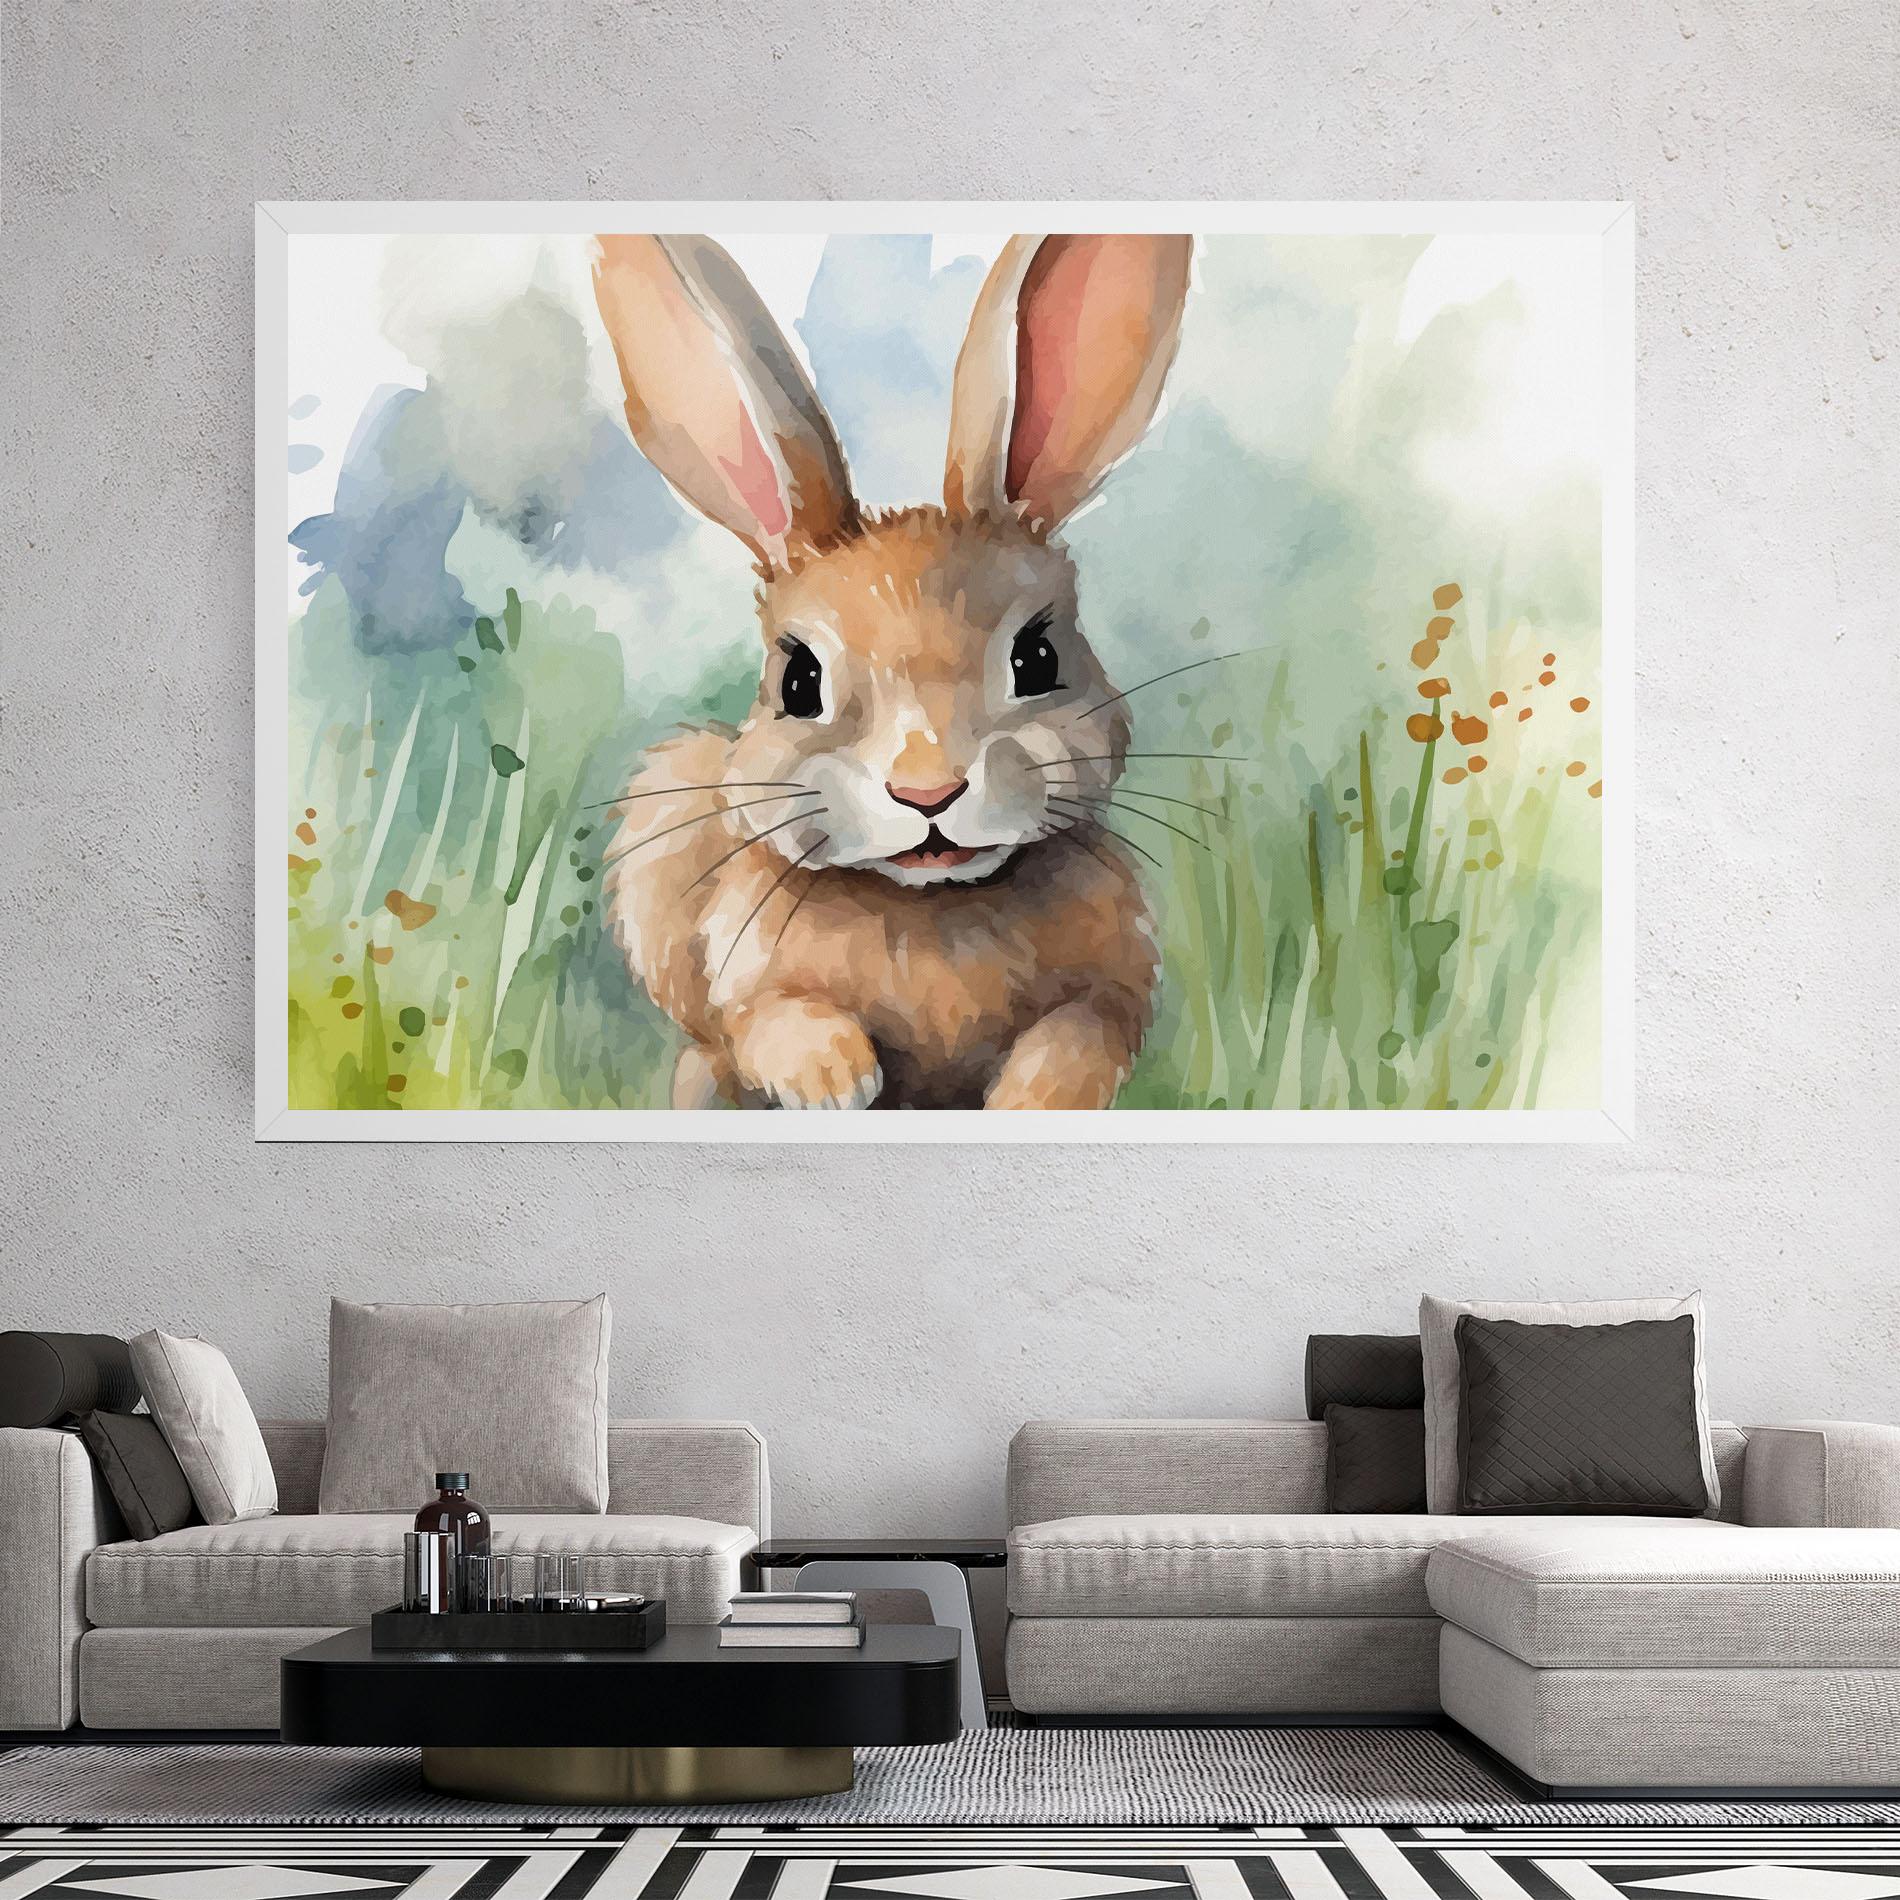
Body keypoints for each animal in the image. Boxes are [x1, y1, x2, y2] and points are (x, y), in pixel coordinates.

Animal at [590, 231, 1192, 1109]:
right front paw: (834, 1076)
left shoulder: (1112, 992)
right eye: (798, 682)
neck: (929, 902)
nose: (928, 791)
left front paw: (1029, 1100)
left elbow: (1082, 1036)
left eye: (1037, 658)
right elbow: (769, 1018)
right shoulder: (746, 986)